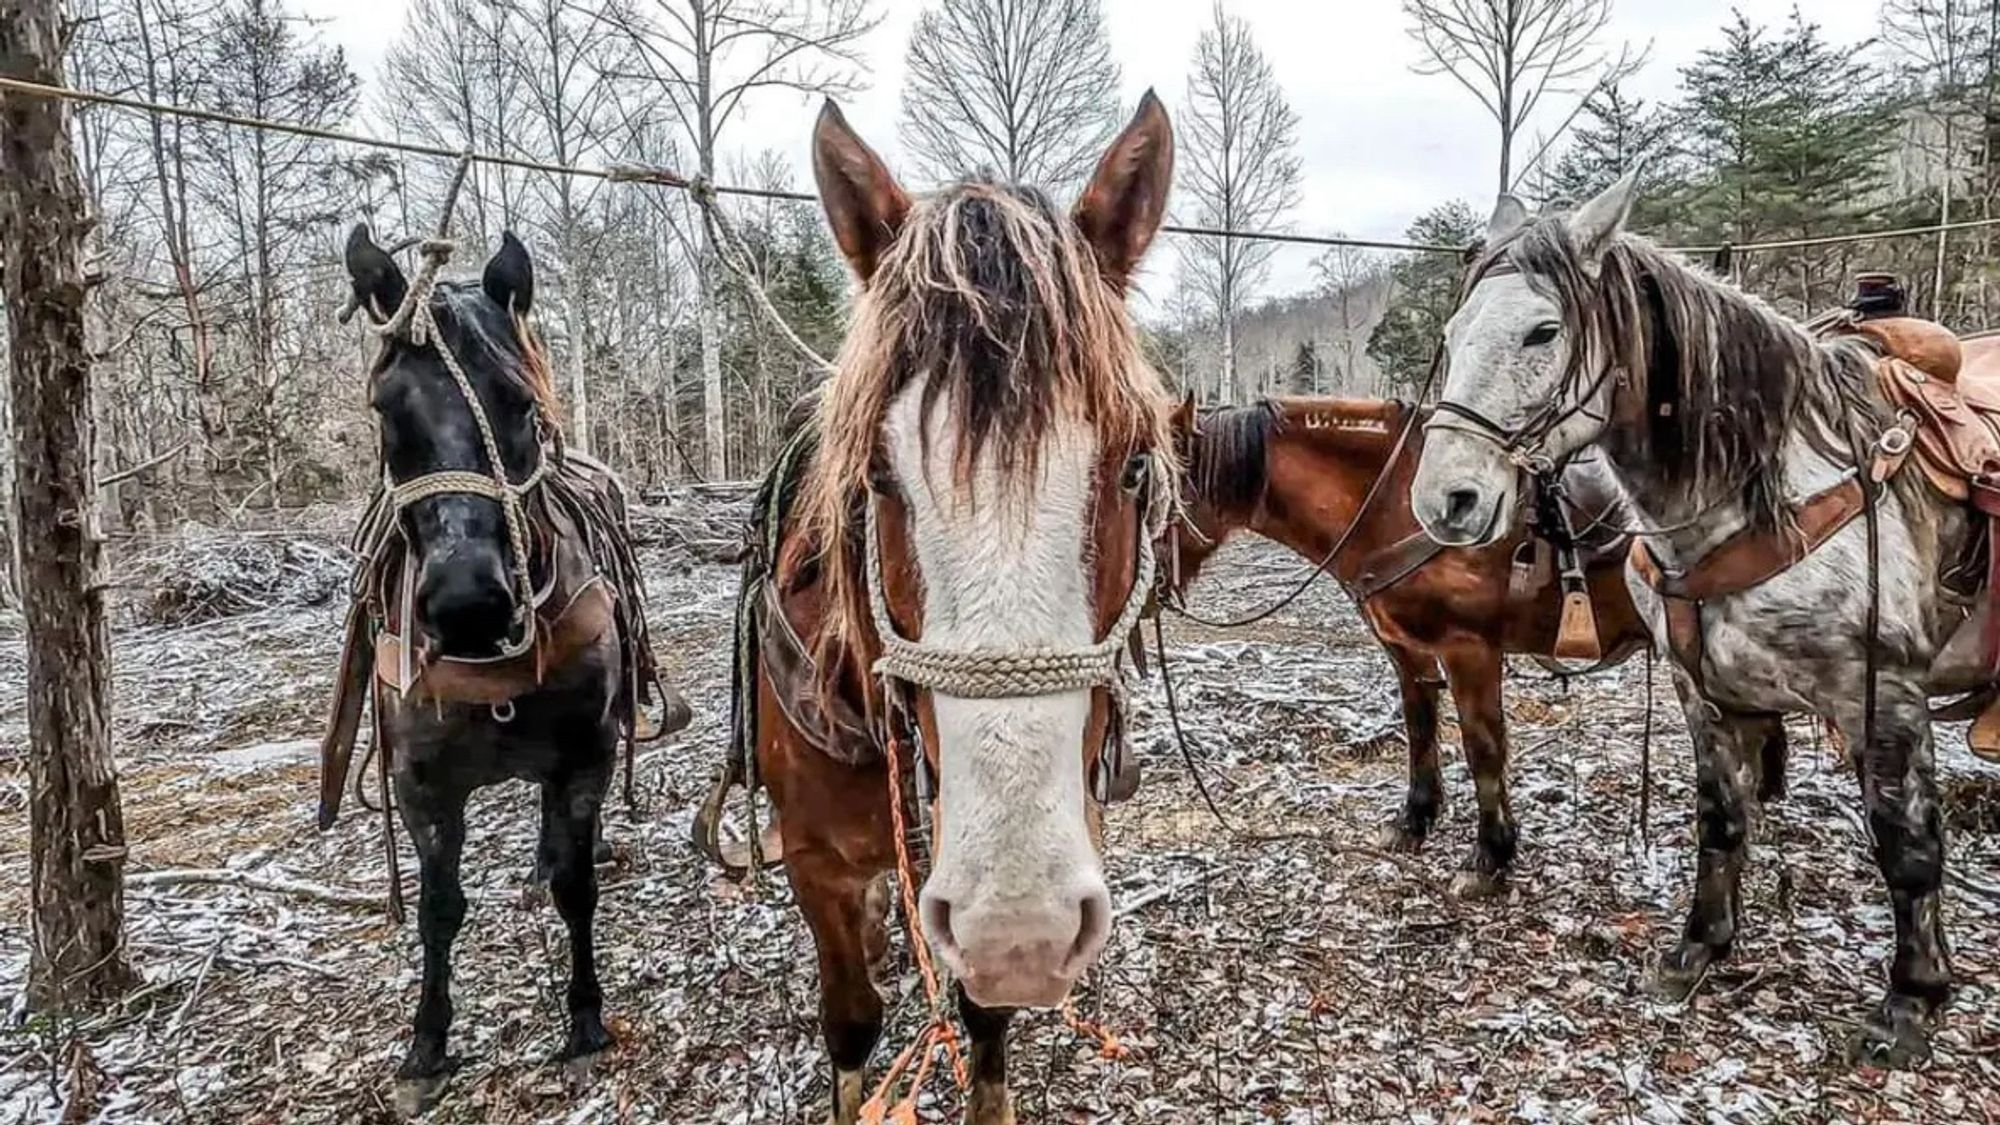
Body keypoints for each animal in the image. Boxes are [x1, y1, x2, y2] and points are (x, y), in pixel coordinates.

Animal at [330, 223, 664, 1104]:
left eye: (517, 401)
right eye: (387, 409)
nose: (467, 602)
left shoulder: (584, 754)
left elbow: (576, 886)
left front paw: (584, 1019)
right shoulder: (422, 784)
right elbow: (439, 906)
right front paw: (427, 1040)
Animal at [752, 98, 1184, 1120]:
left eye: (1134, 467)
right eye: (876, 478)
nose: (1016, 921)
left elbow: (983, 1016)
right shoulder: (817, 866)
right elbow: (850, 1021)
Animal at [1168, 394, 1792, 892]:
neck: (1395, 502)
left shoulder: (1470, 651)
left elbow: (1482, 748)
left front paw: (1491, 857)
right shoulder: (1407, 651)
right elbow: (1420, 730)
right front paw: (1414, 822)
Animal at [1416, 173, 1960, 1056]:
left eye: (1544, 330)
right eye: (1456, 332)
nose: (1444, 500)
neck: (1767, 492)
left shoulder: (1884, 698)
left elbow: (1905, 843)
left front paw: (1911, 1000)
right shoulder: (1702, 689)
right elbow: (1722, 818)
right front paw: (1697, 949)